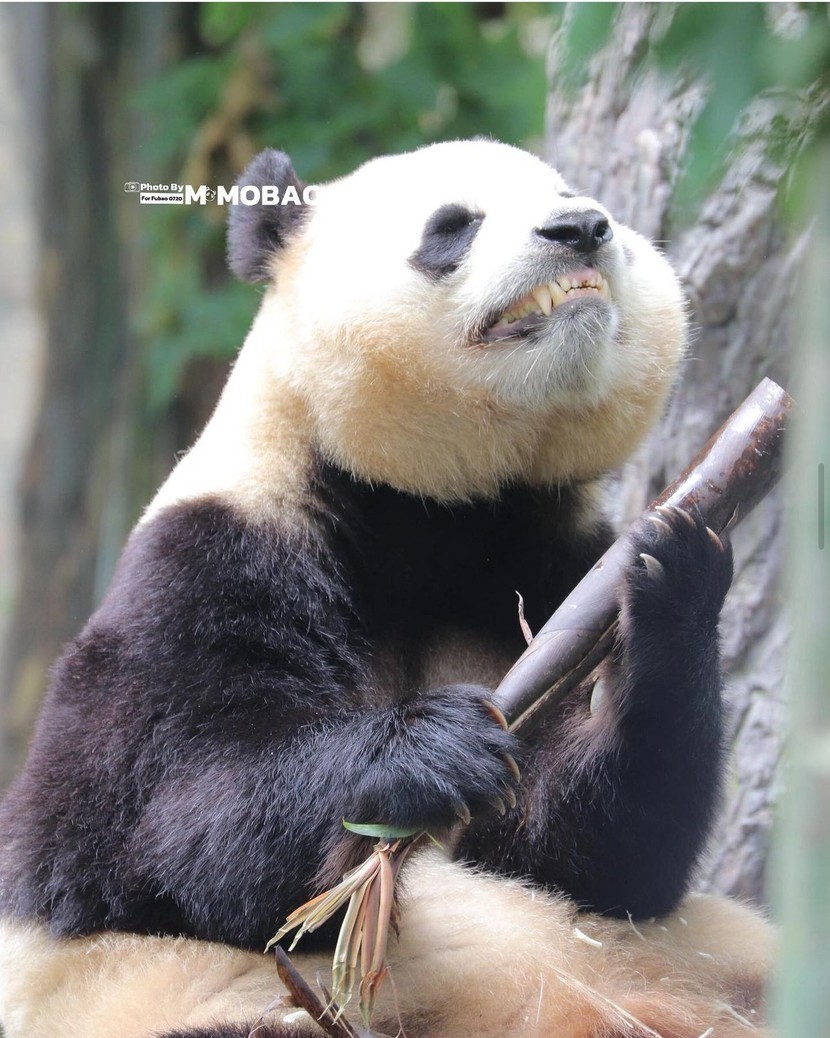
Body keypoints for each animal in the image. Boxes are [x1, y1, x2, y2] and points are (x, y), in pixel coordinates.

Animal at [0, 139, 774, 1038]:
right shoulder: (211, 564)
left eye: (573, 194)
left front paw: (676, 576)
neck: (430, 511)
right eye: (453, 224)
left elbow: (588, 856)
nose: (581, 228)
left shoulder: (542, 567)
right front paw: (431, 746)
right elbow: (151, 831)